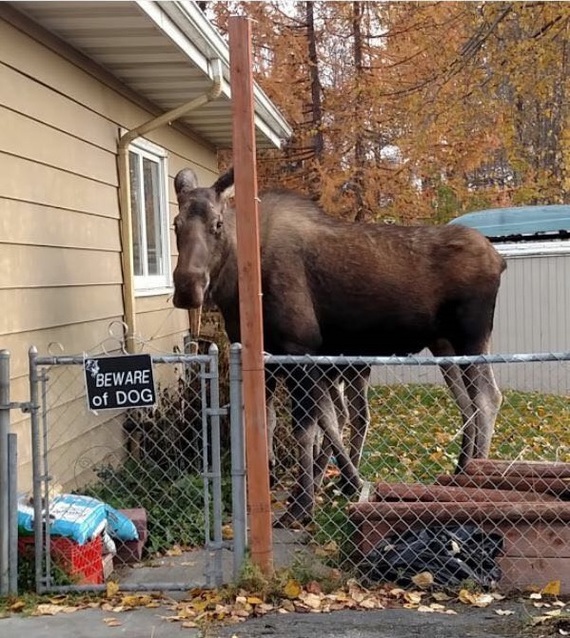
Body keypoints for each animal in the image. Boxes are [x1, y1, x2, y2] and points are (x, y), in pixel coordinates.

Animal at [171, 168, 504, 528]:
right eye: (176, 223)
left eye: (217, 224)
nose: (187, 287)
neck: (238, 287)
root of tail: (499, 260)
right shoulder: (271, 358)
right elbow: (284, 421)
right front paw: (329, 482)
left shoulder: (299, 349)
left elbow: (307, 428)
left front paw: (302, 505)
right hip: (445, 346)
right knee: (467, 405)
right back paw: (459, 471)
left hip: (472, 337)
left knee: (487, 399)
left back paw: (474, 480)